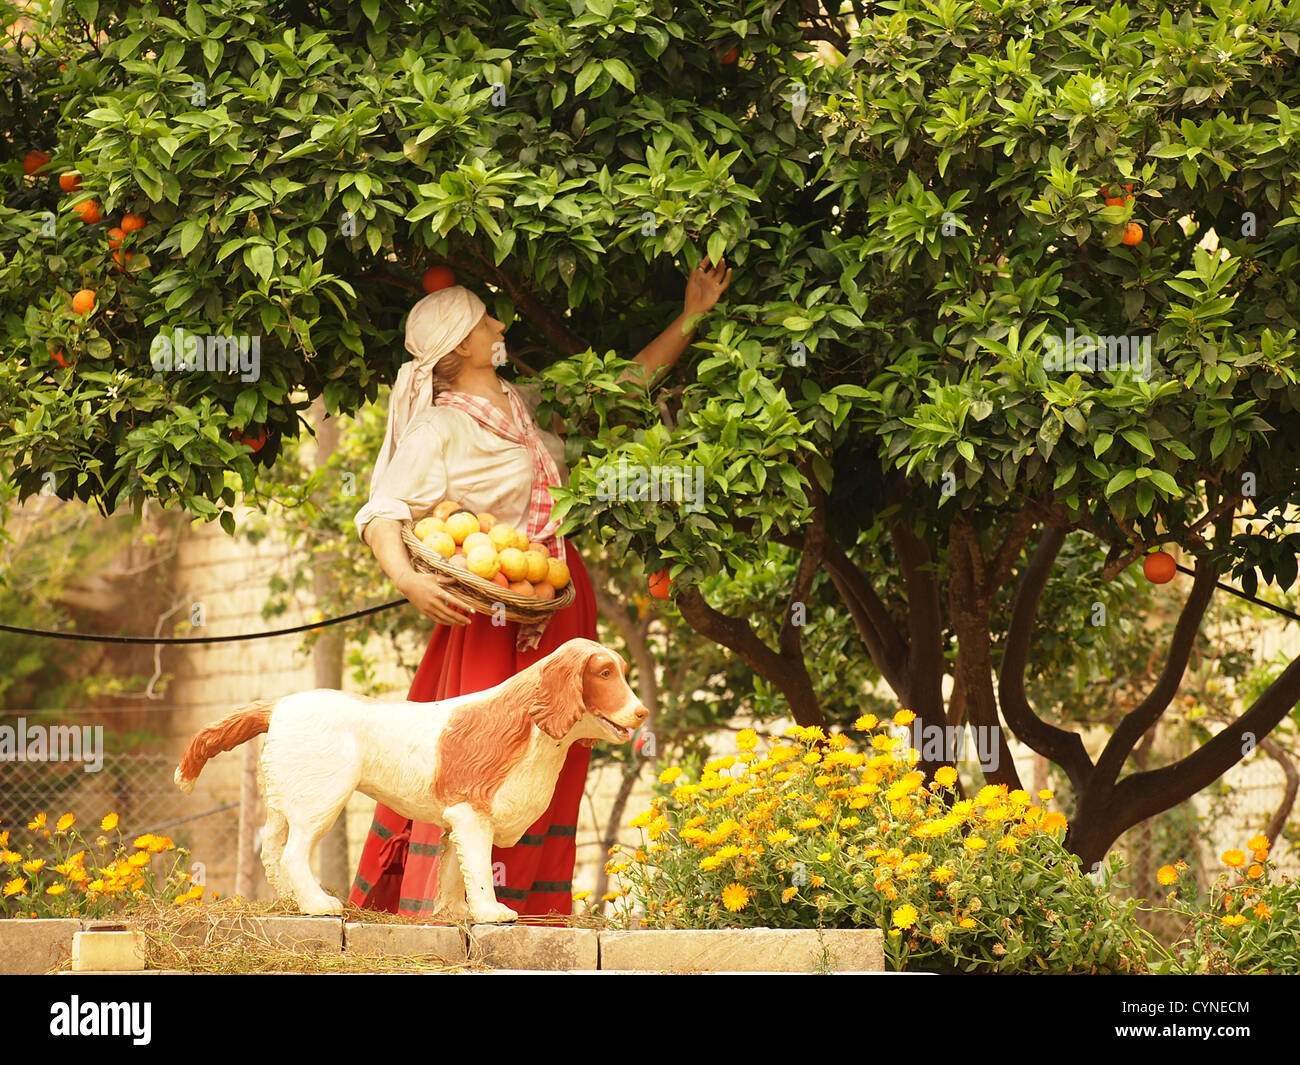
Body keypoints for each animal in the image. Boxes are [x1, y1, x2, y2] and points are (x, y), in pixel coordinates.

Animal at [175, 642, 647, 925]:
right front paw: (491, 912)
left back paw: (295, 903)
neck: (526, 725)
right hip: (319, 802)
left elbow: (455, 871)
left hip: (286, 801)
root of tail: (278, 706)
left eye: (622, 671)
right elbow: (479, 868)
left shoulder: (456, 820)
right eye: (605, 673)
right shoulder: (472, 815)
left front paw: (455, 913)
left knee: (272, 852)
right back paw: (317, 905)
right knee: (293, 854)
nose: (641, 713)